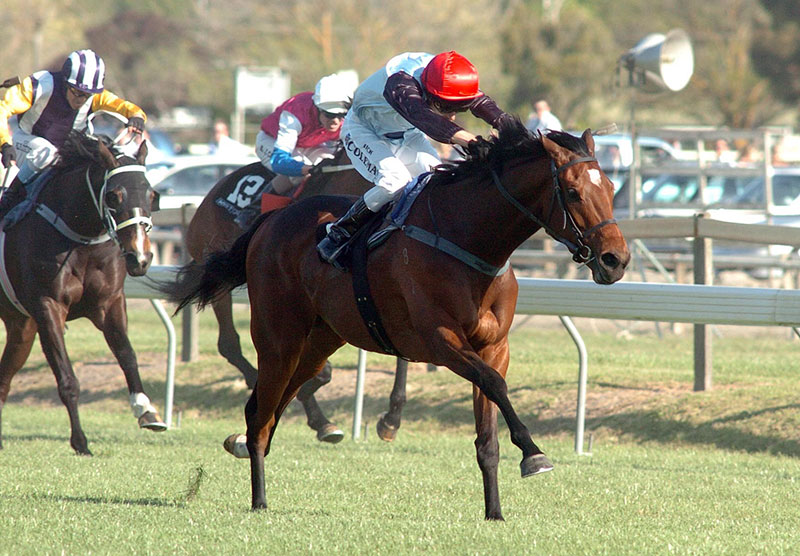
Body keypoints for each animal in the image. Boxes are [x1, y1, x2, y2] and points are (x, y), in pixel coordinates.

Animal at [0, 132, 164, 456]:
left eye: (152, 195)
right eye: (114, 196)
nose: (140, 258)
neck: (81, 237)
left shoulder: (109, 303)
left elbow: (127, 355)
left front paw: (146, 409)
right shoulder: (47, 307)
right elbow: (67, 379)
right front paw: (81, 441)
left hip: (20, 327)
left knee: (4, 378)